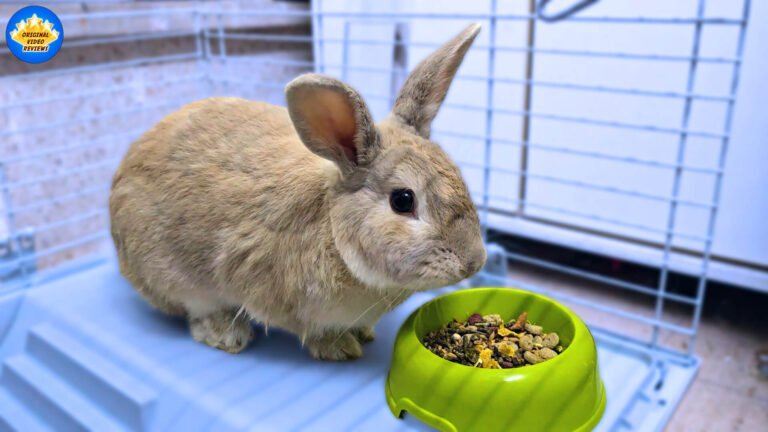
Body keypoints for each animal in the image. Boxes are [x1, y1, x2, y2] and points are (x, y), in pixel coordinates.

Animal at [109, 23, 486, 360]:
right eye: (403, 200)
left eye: (458, 175)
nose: (474, 262)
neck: (333, 231)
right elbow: (311, 331)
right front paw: (340, 348)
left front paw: (363, 334)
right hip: (175, 278)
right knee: (197, 310)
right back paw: (227, 336)